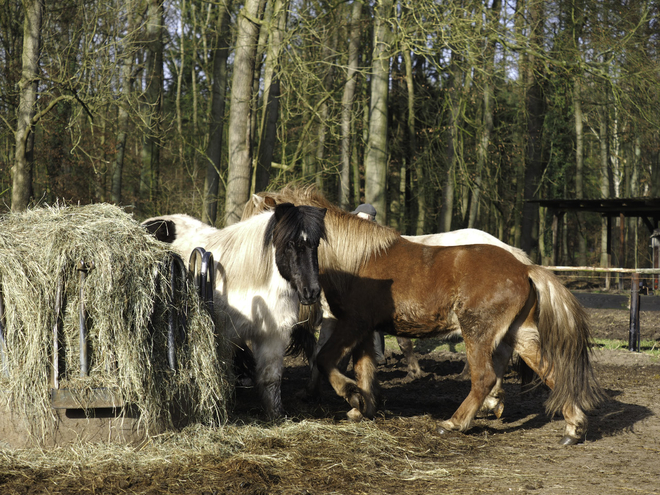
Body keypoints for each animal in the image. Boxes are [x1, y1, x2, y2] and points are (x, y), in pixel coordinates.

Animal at [141, 203, 326, 420]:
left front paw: (275, 415)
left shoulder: (273, 335)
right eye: (290, 243)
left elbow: (271, 377)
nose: (311, 292)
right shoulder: (225, 337)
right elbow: (225, 375)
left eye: (315, 244)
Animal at [245, 186, 604, 446]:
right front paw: (364, 406)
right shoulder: (366, 329)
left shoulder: (351, 323)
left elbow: (325, 359)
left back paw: (456, 422)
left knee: (485, 377)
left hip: (477, 332)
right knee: (550, 370)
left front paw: (353, 398)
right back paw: (573, 428)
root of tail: (524, 267)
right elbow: (364, 368)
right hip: (520, 334)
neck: (356, 259)